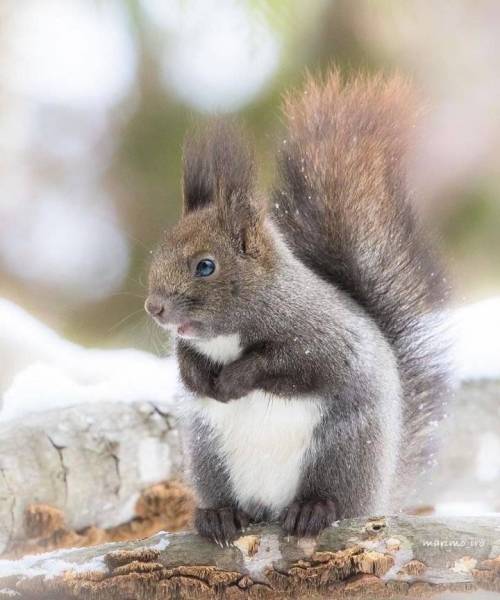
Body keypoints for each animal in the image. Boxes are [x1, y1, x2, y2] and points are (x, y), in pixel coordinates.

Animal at [145, 70, 450, 544]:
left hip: (342, 451)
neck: (229, 334)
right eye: (158, 253)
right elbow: (185, 363)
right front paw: (200, 380)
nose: (153, 307)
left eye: (205, 266)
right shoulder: (189, 347)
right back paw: (219, 515)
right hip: (209, 456)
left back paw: (313, 510)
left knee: (333, 497)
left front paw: (234, 379)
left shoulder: (321, 337)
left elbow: (290, 364)